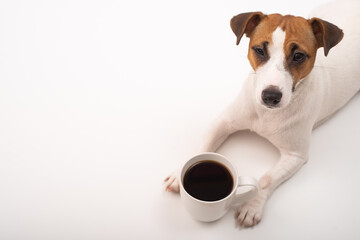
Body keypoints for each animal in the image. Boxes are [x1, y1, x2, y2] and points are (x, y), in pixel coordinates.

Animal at [164, 0, 360, 227]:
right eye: (259, 50)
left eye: (298, 56)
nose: (270, 96)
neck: (266, 115)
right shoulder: (222, 122)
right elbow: (202, 147)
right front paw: (179, 174)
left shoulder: (295, 155)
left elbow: (266, 179)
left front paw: (252, 206)